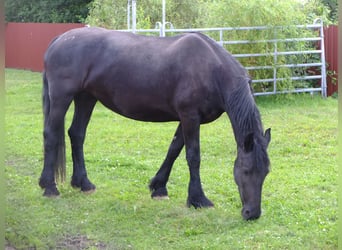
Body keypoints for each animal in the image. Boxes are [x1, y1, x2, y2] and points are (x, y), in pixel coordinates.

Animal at [39, 26, 270, 219]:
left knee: (76, 134)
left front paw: (158, 187)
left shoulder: (187, 119)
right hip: (62, 97)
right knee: (51, 134)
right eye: (246, 171)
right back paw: (49, 187)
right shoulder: (190, 116)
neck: (212, 69)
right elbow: (193, 156)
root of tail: (59, 39)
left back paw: (83, 183)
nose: (252, 213)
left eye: (266, 172)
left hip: (86, 98)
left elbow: (174, 150)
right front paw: (198, 199)